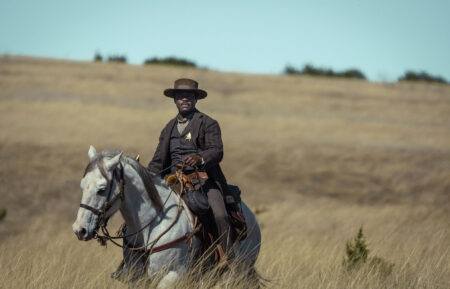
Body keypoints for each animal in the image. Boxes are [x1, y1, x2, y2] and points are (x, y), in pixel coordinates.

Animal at [71, 146, 260, 288]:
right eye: (81, 185)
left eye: (102, 189)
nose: (80, 229)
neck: (151, 225)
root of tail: (252, 218)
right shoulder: (137, 279)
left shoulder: (172, 276)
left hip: (237, 271)